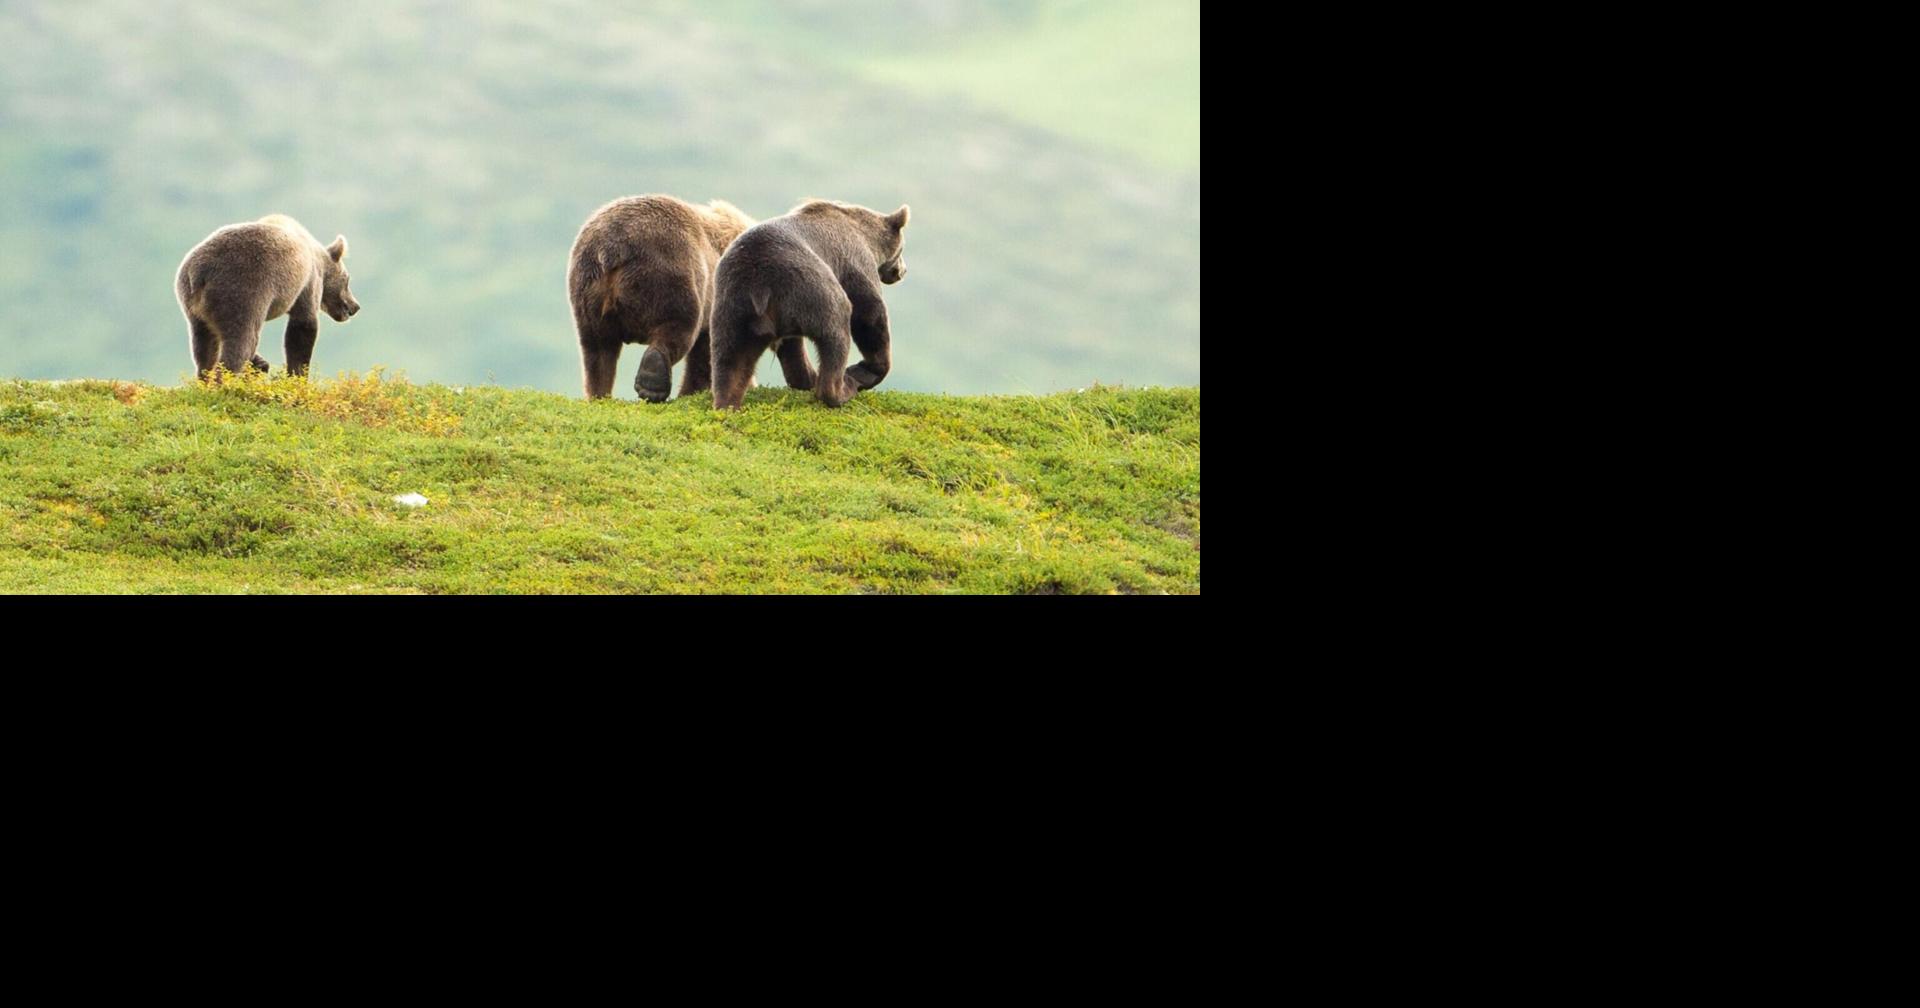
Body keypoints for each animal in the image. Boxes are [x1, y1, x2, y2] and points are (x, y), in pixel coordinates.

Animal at [174, 214, 359, 381]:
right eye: (348, 279)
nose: (355, 306)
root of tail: (200, 273)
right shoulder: (307, 282)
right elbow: (303, 326)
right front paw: (297, 377)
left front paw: (261, 363)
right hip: (242, 292)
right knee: (241, 342)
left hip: (193, 307)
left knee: (205, 348)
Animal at [566, 195, 757, 402]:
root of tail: (613, 248)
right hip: (671, 271)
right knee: (678, 326)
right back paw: (652, 385)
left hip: (587, 289)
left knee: (598, 349)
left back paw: (599, 394)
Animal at [708, 199, 909, 410]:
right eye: (902, 250)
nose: (903, 271)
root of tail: (760, 286)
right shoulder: (854, 261)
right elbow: (870, 312)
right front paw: (866, 370)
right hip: (810, 286)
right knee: (837, 329)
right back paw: (841, 388)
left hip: (734, 305)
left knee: (731, 359)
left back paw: (728, 403)